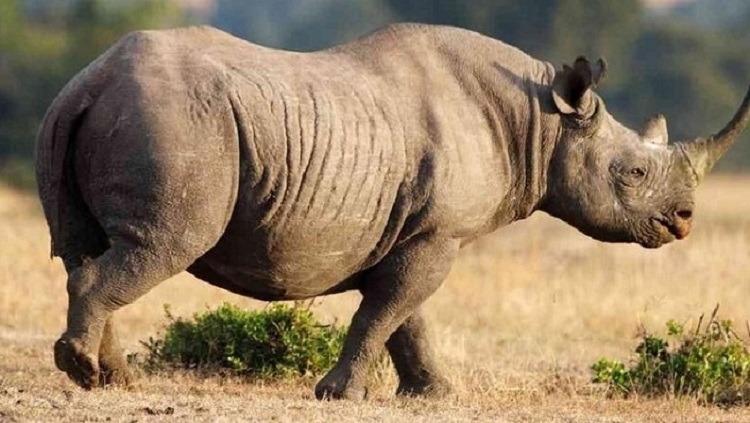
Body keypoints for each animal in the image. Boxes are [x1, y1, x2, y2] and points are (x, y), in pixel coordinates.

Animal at [36, 23, 749, 399]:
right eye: (633, 174)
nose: (684, 220)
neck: (541, 122)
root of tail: (91, 81)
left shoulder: (423, 230)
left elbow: (405, 315)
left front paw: (434, 394)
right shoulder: (439, 233)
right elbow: (388, 311)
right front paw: (340, 394)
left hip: (84, 114)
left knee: (88, 250)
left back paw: (110, 381)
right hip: (178, 123)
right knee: (159, 246)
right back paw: (88, 372)